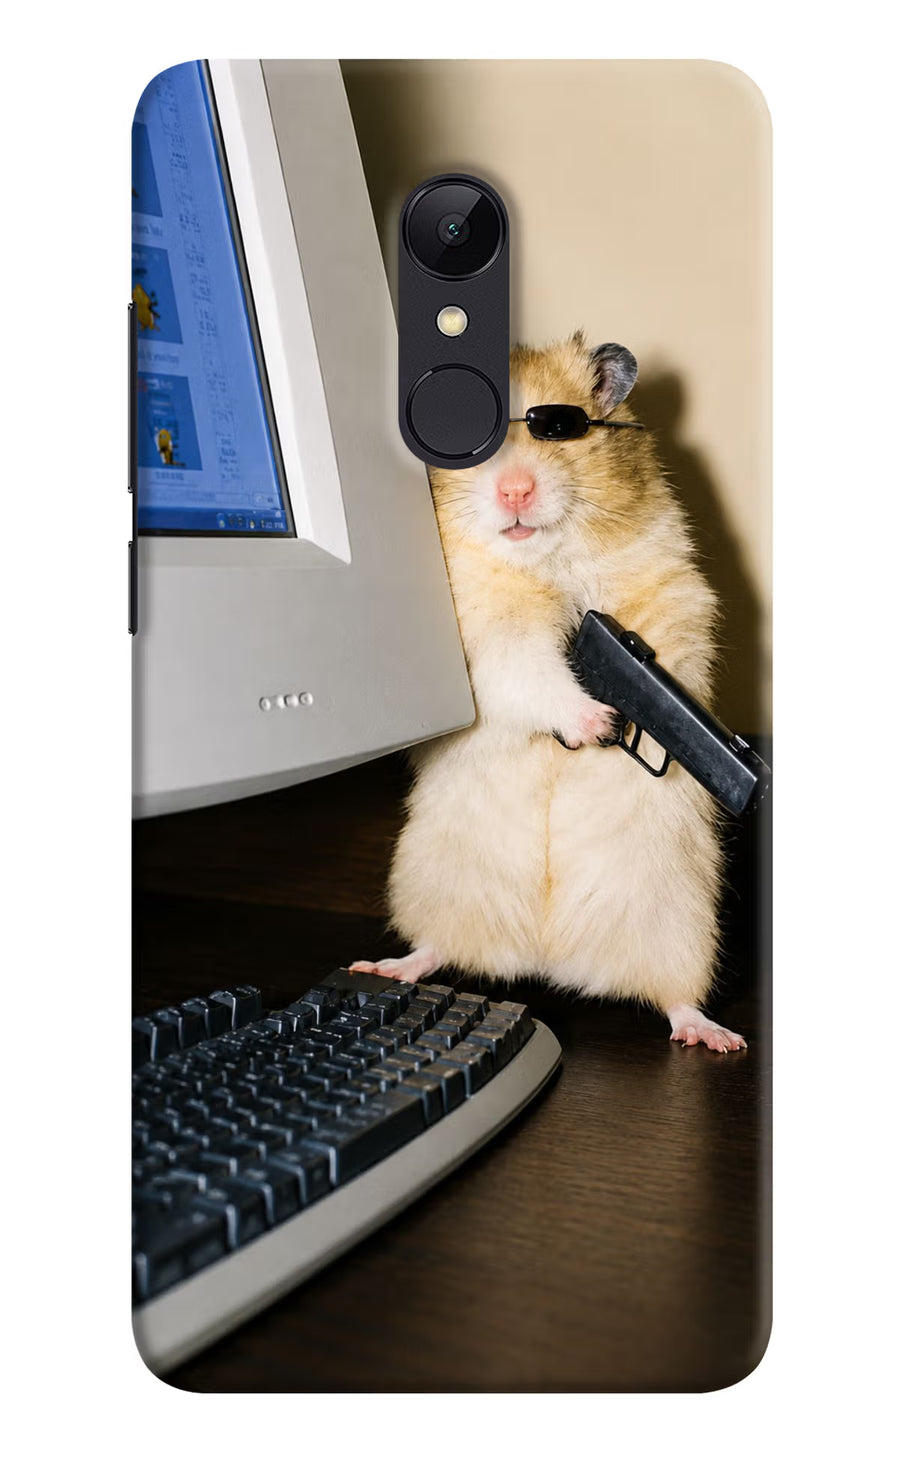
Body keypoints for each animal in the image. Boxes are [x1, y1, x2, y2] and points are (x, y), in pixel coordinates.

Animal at [352, 333, 745, 1052]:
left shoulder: (672, 592)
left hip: (680, 921)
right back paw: (385, 966)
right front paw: (598, 722)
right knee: (436, 947)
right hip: (433, 882)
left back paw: (716, 1036)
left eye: (560, 429)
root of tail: (548, 957)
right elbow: (531, 672)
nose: (515, 490)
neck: (545, 560)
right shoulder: (487, 640)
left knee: (675, 997)